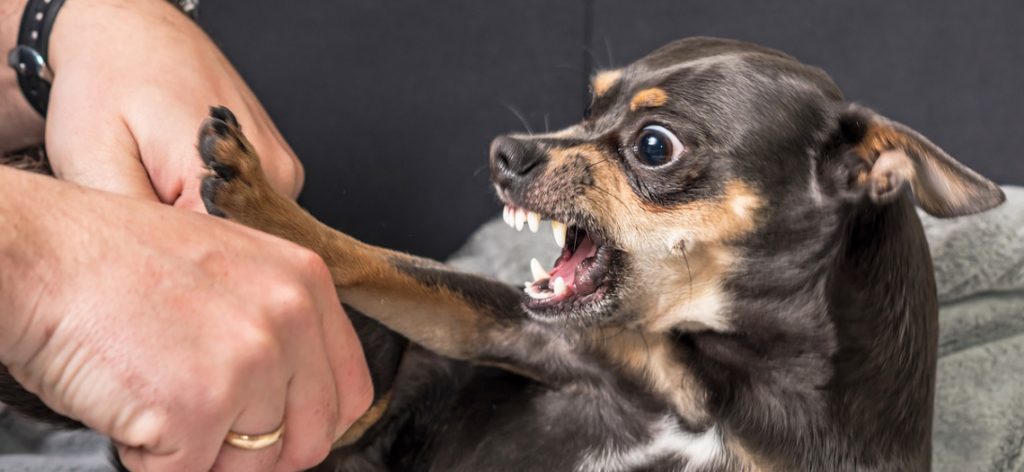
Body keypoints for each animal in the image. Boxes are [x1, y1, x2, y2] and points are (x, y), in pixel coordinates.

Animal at [0, 37, 1007, 470]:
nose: (506, 152)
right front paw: (258, 197)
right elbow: (373, 257)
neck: (723, 385)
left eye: (653, 146)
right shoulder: (521, 336)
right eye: (589, 105)